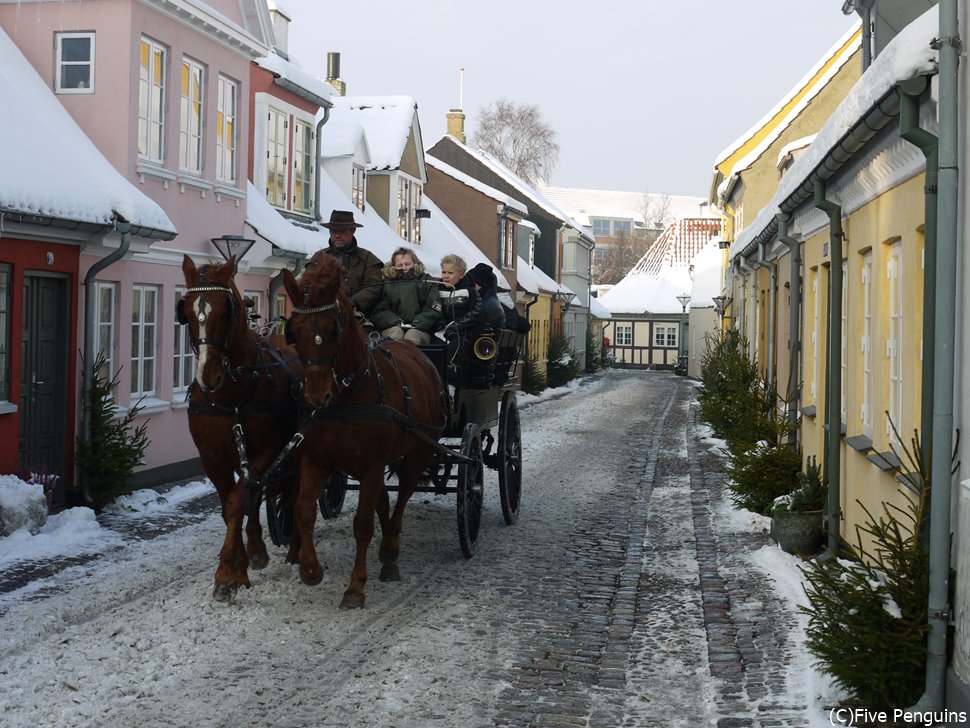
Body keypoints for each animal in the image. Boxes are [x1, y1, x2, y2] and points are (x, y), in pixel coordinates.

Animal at [178, 256, 302, 604]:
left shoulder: (266, 451)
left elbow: (237, 504)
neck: (230, 398)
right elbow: (230, 506)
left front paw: (226, 573)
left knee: (294, 493)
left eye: (226, 311)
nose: (209, 377)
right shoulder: (213, 460)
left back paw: (294, 549)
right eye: (186, 312)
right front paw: (239, 566)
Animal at [282, 252, 444, 608]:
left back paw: (391, 550)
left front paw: (355, 587)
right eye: (294, 331)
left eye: (332, 327)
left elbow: (362, 524)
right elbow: (303, 511)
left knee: (402, 497)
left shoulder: (371, 466)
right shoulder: (315, 460)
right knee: (384, 500)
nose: (317, 396)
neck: (347, 396)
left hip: (420, 450)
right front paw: (310, 570)